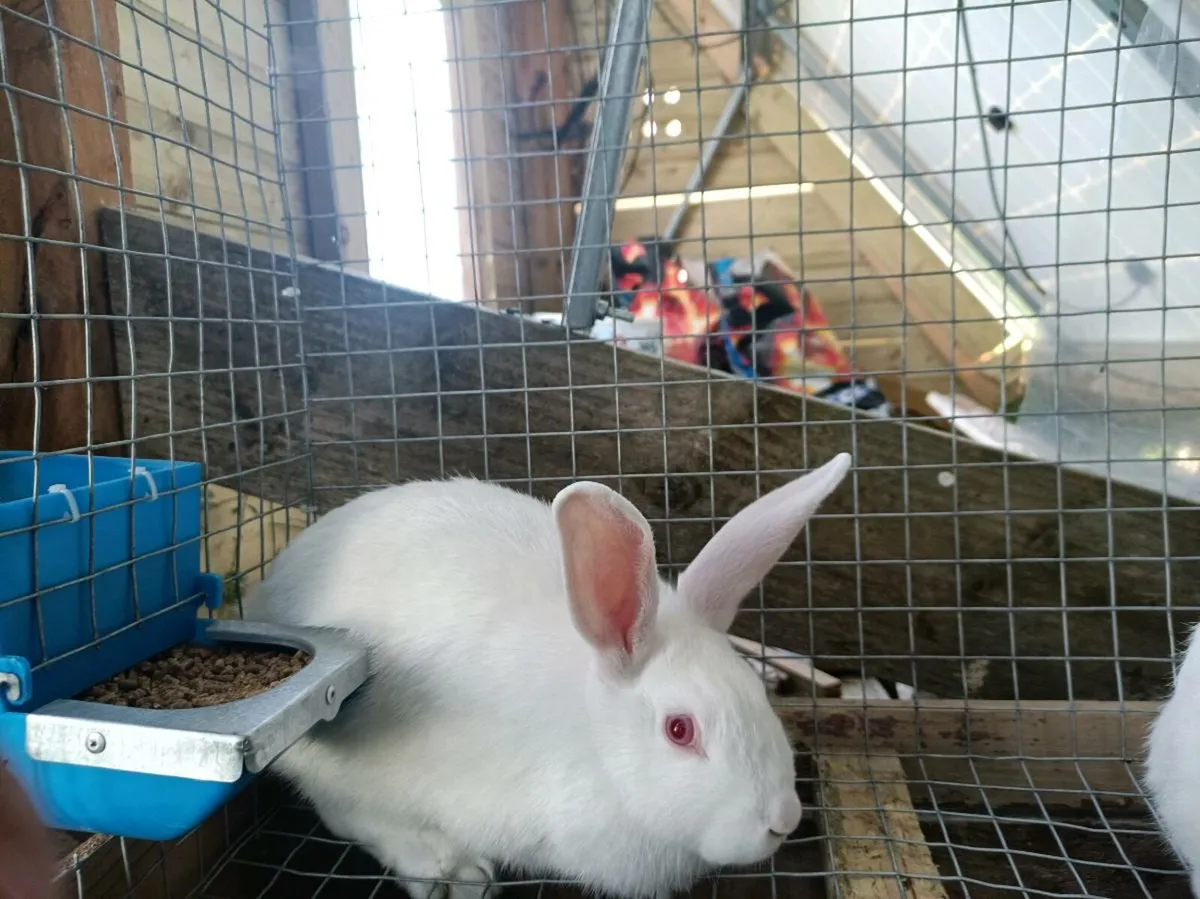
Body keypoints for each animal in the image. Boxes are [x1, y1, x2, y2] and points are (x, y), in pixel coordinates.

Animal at [243, 453, 853, 899]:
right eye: (680, 730)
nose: (782, 820)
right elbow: (360, 818)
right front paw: (452, 870)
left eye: (758, 698)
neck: (592, 739)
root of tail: (269, 590)